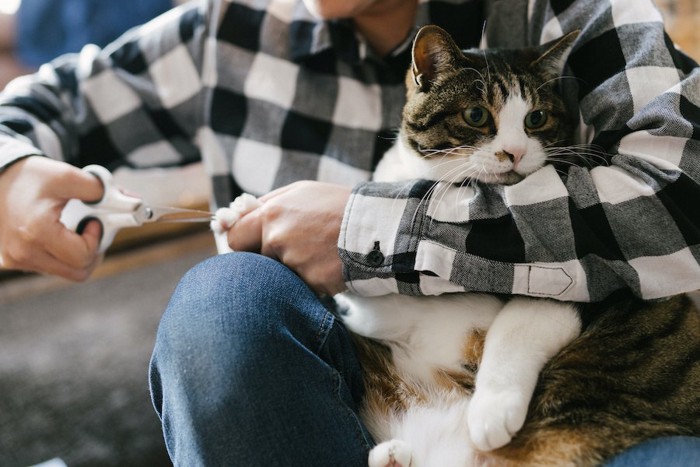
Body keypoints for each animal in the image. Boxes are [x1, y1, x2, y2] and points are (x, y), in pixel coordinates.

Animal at [332, 24, 700, 467]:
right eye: (476, 115)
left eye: (535, 118)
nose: (516, 151)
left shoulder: (588, 283)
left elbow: (517, 323)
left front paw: (491, 412)